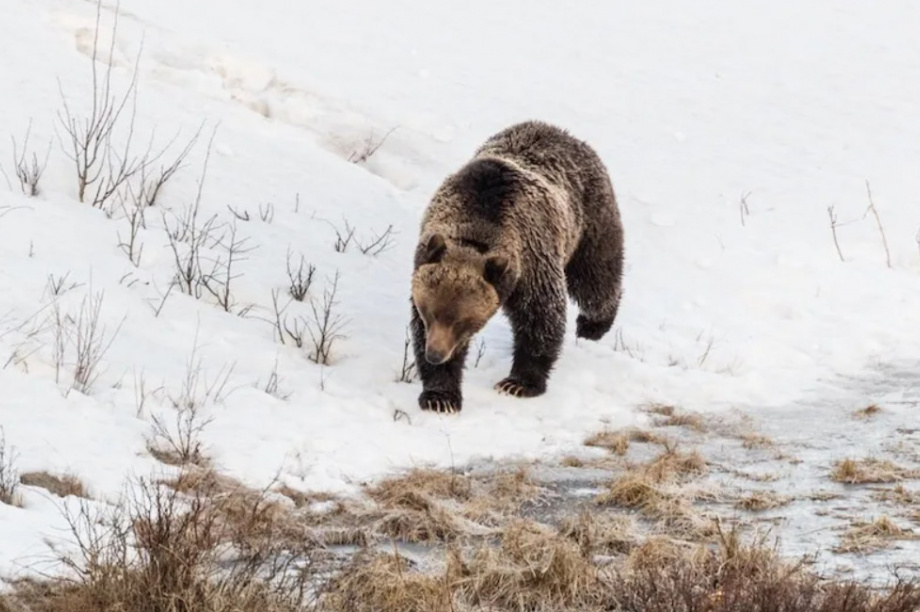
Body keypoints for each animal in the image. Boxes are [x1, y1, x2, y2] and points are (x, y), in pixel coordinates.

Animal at [409, 120, 624, 413]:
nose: (436, 354)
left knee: (596, 276)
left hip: (589, 220)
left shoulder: (532, 260)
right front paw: (440, 396)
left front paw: (518, 383)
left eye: (462, 321)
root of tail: (562, 132)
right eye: (429, 313)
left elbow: (540, 317)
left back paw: (593, 325)